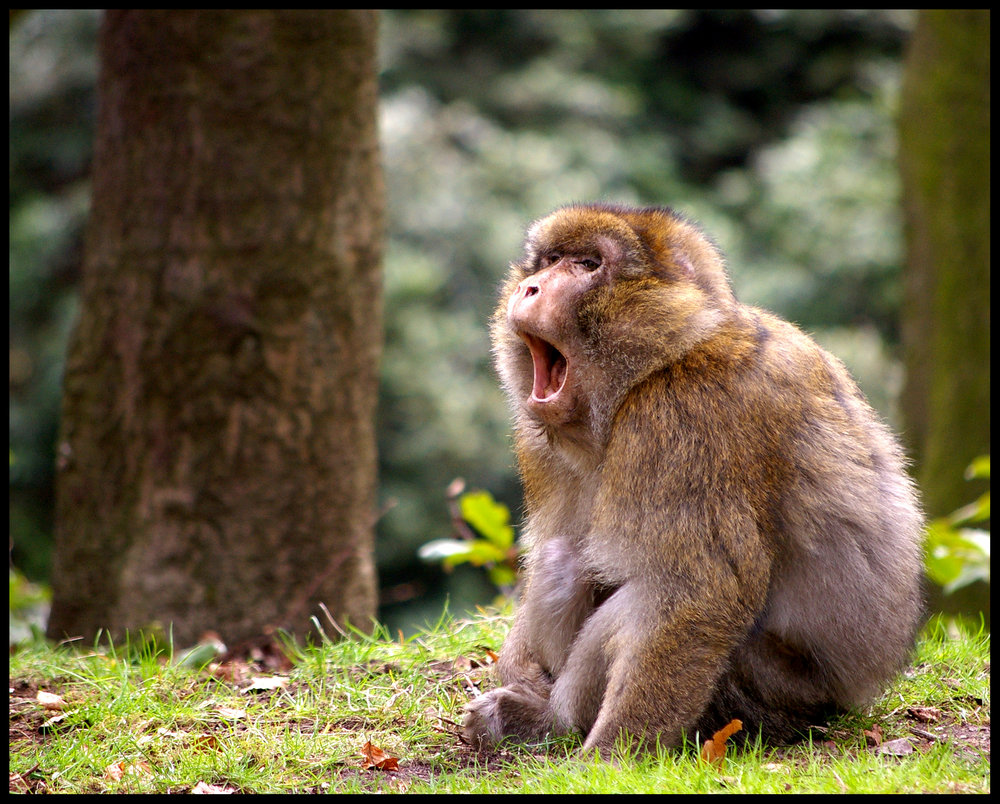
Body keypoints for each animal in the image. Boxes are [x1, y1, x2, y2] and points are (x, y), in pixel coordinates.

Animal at [462, 203, 924, 756]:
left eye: (588, 265)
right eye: (549, 261)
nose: (530, 288)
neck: (659, 363)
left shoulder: (686, 418)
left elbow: (695, 593)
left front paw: (610, 758)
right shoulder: (541, 445)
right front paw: (517, 666)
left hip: (770, 692)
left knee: (642, 602)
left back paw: (556, 722)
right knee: (563, 558)